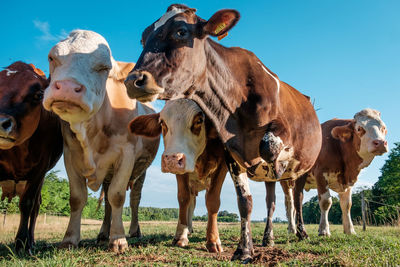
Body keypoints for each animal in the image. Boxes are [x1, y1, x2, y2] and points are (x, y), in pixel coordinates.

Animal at [0, 61, 63, 254]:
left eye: (38, 95)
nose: (1, 122)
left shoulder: (39, 171)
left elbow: (27, 204)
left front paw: (22, 243)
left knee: (35, 207)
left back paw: (31, 241)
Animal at [41, 30, 159, 253]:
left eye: (104, 67)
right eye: (52, 58)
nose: (67, 87)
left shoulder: (126, 155)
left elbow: (118, 196)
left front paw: (119, 239)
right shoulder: (70, 155)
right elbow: (77, 198)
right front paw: (70, 239)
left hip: (141, 171)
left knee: (134, 199)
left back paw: (134, 231)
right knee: (107, 205)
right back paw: (104, 233)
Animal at [130, 100, 227, 253]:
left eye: (199, 120)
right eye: (162, 122)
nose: (171, 159)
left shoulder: (223, 163)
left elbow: (212, 201)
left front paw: (212, 239)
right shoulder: (181, 173)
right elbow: (183, 198)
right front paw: (181, 235)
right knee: (191, 204)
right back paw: (189, 229)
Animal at [284, 108, 388, 238]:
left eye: (383, 127)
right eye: (359, 128)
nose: (380, 143)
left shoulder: (347, 181)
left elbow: (347, 204)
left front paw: (350, 230)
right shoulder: (321, 174)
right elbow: (326, 202)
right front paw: (324, 230)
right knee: (290, 204)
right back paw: (292, 228)